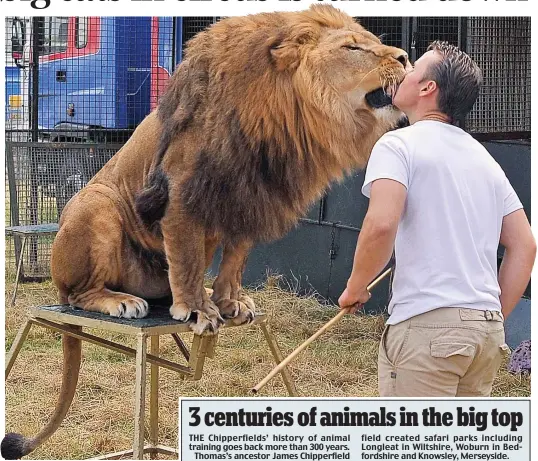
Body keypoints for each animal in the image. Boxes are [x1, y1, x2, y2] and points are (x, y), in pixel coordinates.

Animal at [2, 5, 408, 458]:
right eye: (352, 48)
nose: (407, 57)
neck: (282, 113)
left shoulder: (249, 199)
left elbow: (234, 260)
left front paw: (230, 303)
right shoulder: (183, 193)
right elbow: (187, 257)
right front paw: (197, 309)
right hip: (97, 205)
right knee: (78, 294)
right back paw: (120, 301)